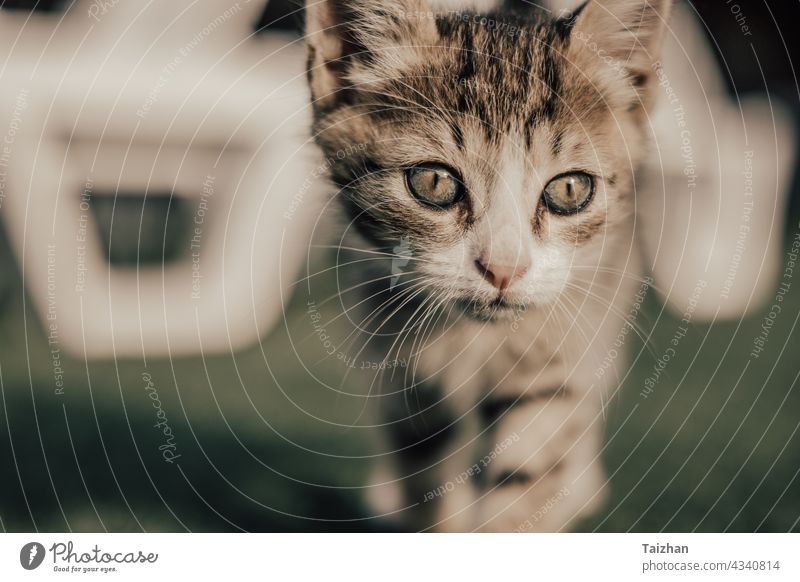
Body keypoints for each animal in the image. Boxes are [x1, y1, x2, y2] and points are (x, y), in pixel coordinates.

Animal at [304, 0, 672, 532]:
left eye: (569, 189)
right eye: (434, 182)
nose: (503, 268)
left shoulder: (561, 348)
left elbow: (527, 469)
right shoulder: (400, 361)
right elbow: (424, 464)